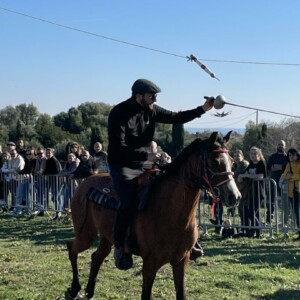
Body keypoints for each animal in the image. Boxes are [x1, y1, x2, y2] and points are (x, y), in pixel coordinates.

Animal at [65, 132, 241, 300]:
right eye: (215, 162)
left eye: (232, 162)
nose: (235, 196)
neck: (170, 213)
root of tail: (87, 181)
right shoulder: (150, 264)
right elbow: (146, 295)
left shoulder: (181, 262)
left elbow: (181, 295)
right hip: (86, 234)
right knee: (72, 248)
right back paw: (74, 289)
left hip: (107, 239)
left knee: (96, 258)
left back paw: (89, 291)